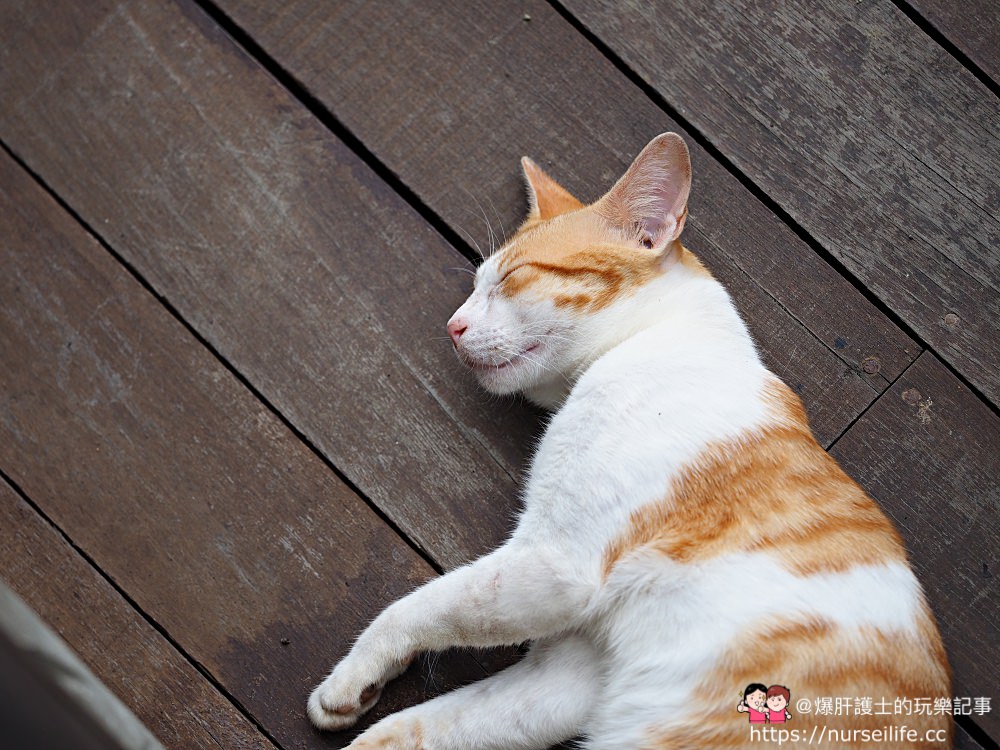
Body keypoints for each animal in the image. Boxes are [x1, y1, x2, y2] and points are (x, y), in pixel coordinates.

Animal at [306, 132, 952, 748]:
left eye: (511, 278)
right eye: (476, 286)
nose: (453, 326)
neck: (654, 342)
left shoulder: (555, 565)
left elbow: (422, 606)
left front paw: (348, 676)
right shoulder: (567, 674)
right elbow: (420, 726)